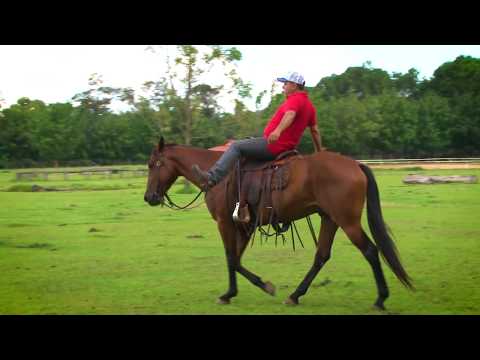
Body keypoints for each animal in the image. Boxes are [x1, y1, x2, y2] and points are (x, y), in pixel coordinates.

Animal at [142, 136, 412, 310]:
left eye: (154, 164)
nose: (149, 197)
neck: (217, 174)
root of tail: (355, 164)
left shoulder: (225, 223)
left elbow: (231, 258)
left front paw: (261, 286)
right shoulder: (243, 225)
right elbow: (236, 259)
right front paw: (232, 293)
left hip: (348, 222)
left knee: (370, 251)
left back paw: (380, 299)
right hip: (330, 219)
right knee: (322, 256)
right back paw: (295, 295)